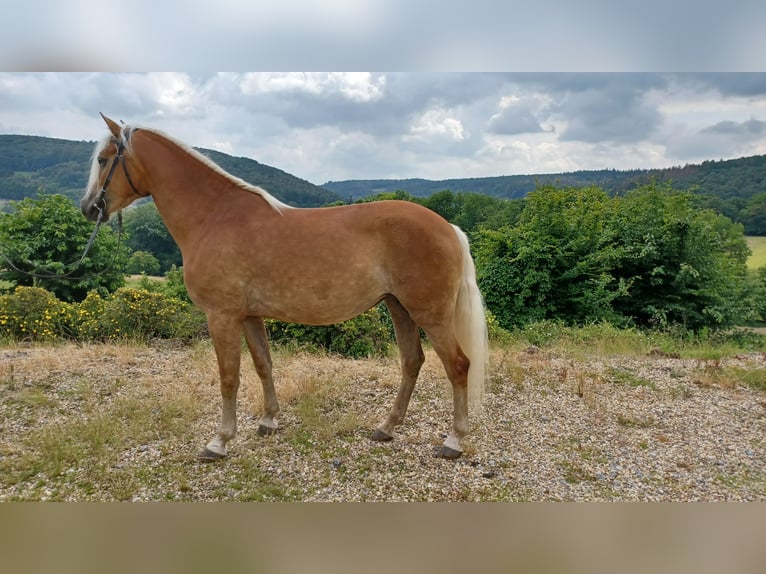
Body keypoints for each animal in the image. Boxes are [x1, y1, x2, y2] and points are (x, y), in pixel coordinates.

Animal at [81, 115, 488, 462]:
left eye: (102, 159)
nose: (87, 208)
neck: (215, 217)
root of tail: (449, 227)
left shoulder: (221, 316)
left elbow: (229, 377)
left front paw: (219, 442)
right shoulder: (248, 315)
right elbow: (263, 364)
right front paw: (269, 421)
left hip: (430, 314)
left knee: (458, 366)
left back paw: (453, 440)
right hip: (398, 307)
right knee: (412, 362)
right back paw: (386, 428)